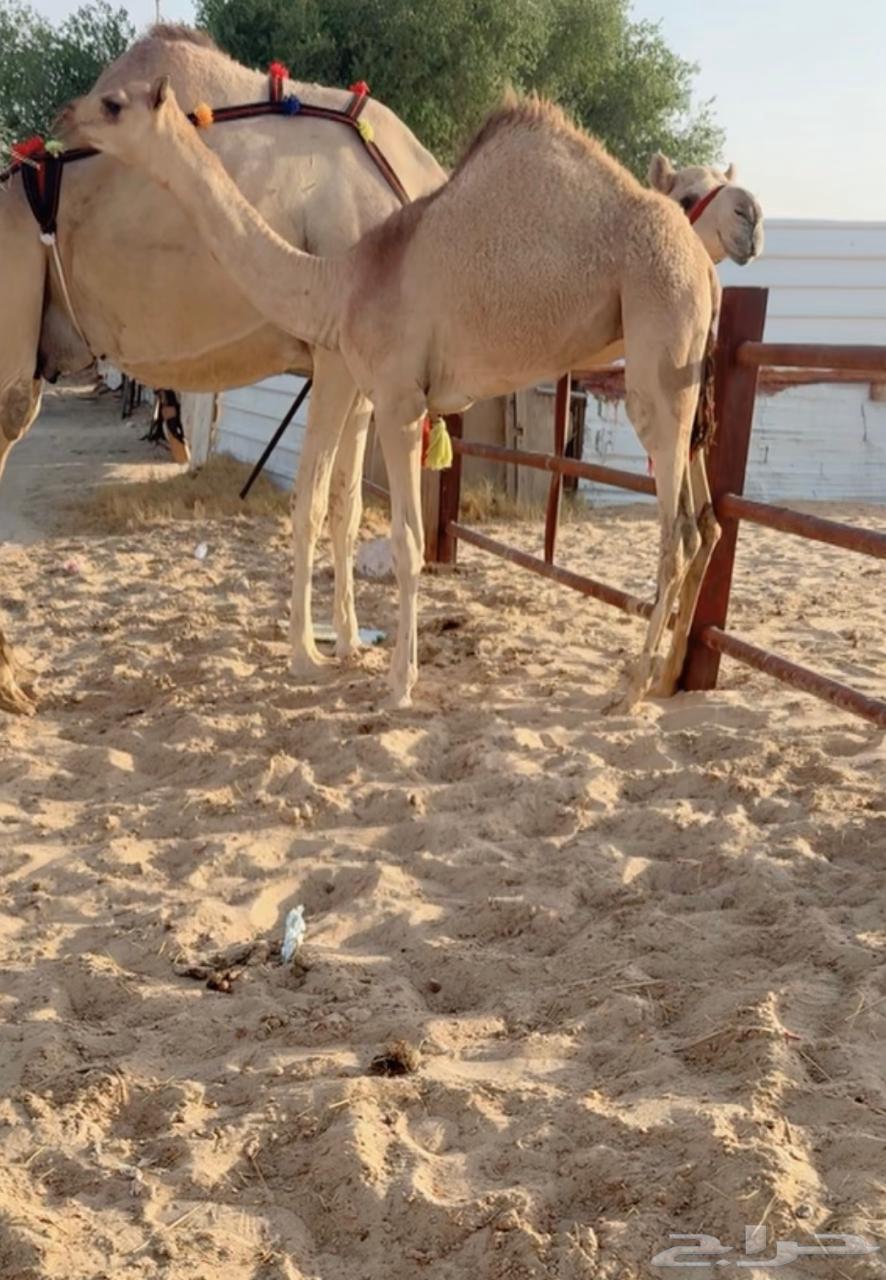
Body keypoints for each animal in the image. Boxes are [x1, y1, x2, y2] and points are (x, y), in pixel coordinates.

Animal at [0, 26, 762, 718]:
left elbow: (401, 536)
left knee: (681, 527)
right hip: (681, 365)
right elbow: (348, 509)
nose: (62, 120)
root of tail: (705, 272)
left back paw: (631, 689)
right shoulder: (368, 384)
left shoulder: (394, 394)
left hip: (661, 351)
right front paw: (347, 654)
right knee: (700, 520)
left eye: (115, 103)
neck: (338, 281)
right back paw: (658, 682)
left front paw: (391, 682)